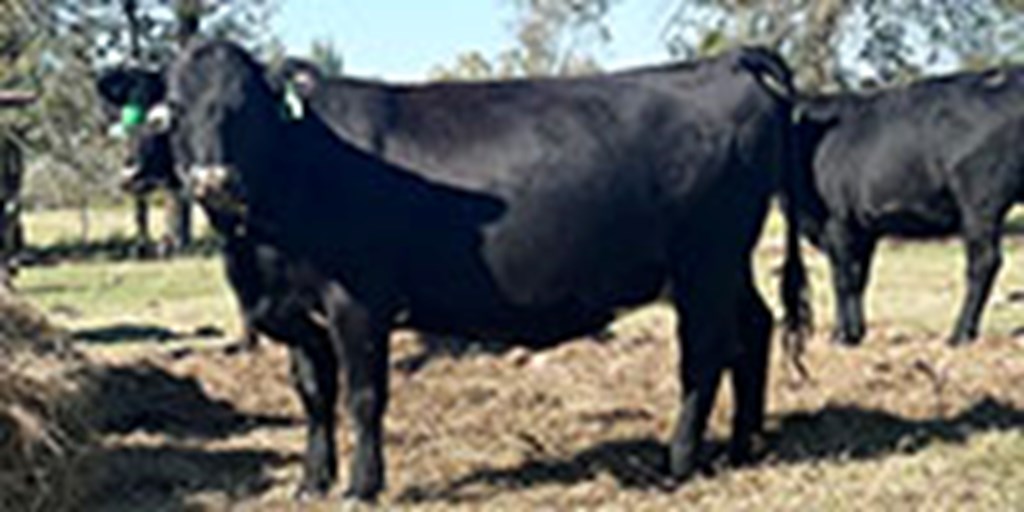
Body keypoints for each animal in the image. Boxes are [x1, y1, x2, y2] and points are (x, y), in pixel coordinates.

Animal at [794, 68, 1024, 346]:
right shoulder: (864, 229)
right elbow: (859, 278)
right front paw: (856, 332)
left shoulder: (837, 223)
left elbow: (843, 278)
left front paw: (841, 335)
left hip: (979, 204)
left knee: (984, 261)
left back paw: (959, 334)